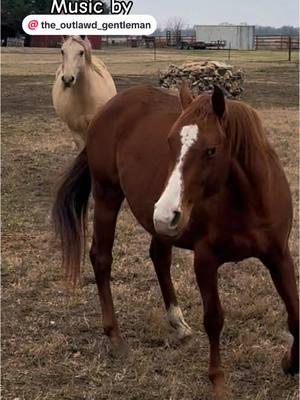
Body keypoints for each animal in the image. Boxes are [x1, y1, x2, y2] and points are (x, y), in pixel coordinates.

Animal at [52, 83, 298, 396]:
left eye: (211, 150)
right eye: (169, 142)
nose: (165, 212)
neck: (249, 201)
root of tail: (109, 108)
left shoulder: (279, 256)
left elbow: (295, 314)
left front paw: (290, 363)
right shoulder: (205, 260)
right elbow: (214, 319)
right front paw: (218, 381)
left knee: (159, 257)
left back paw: (177, 322)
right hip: (108, 195)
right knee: (102, 258)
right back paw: (115, 336)